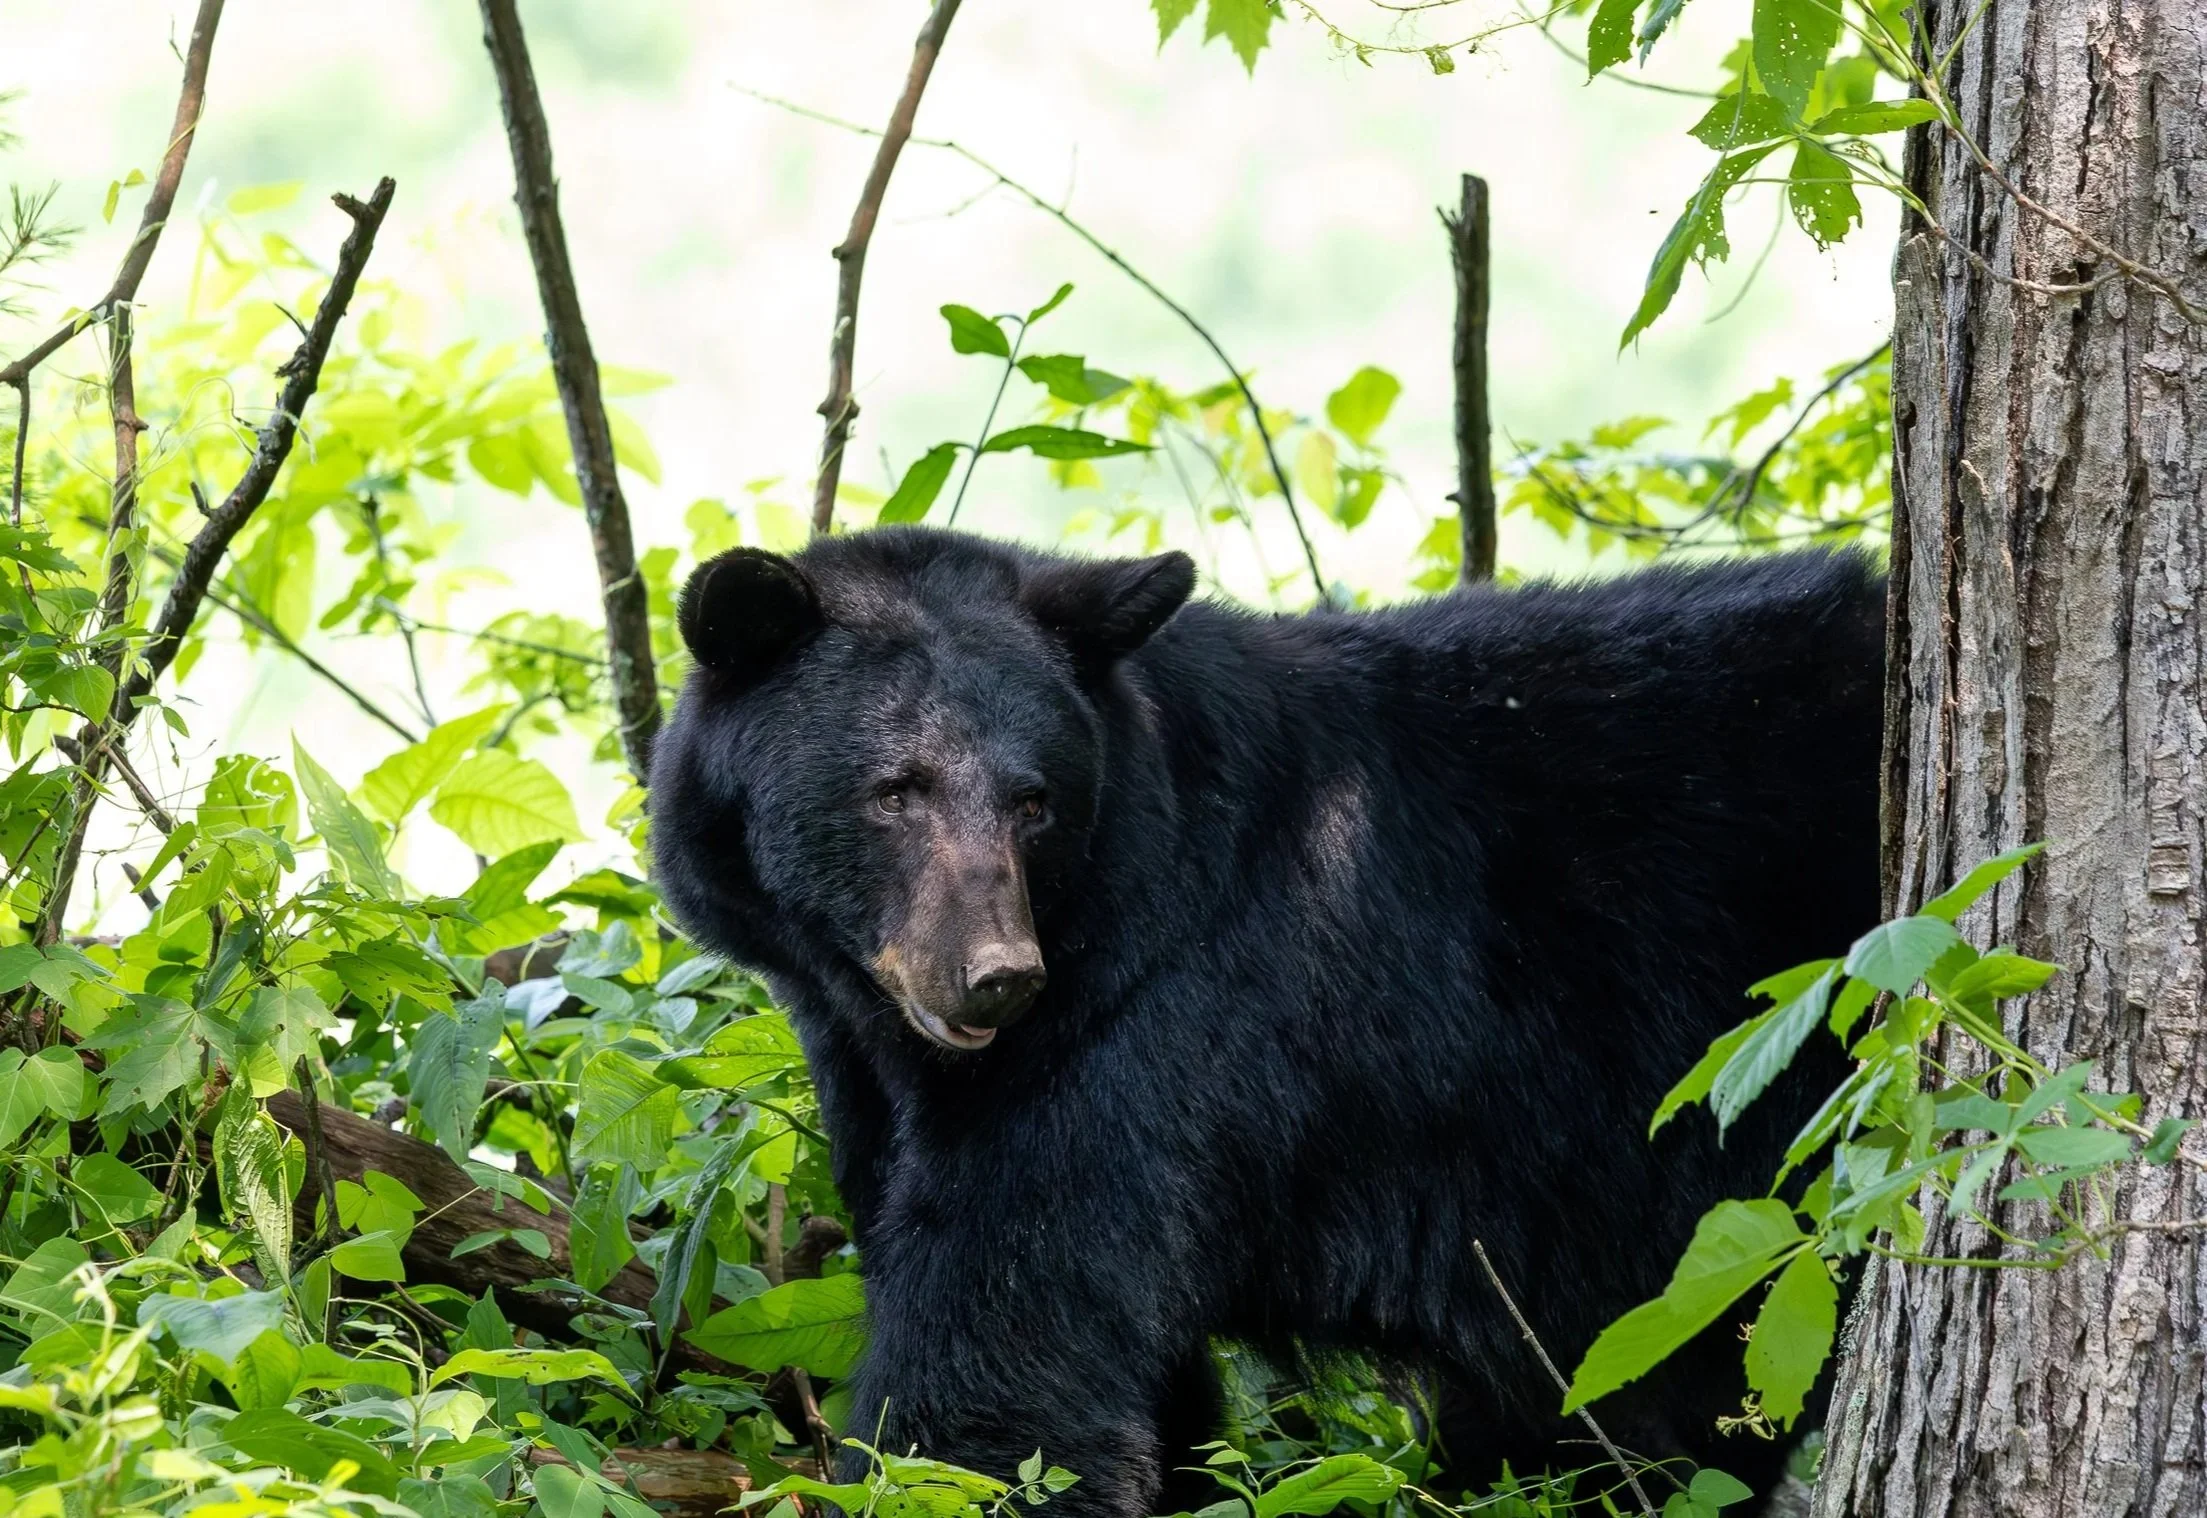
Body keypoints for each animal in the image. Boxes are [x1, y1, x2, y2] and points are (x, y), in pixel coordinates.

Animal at [649, 526, 1883, 1516]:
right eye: (894, 790)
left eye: (1033, 799)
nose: (994, 976)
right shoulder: (864, 1065)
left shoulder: (1146, 1020)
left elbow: (1010, 1337)